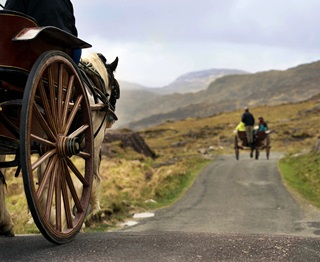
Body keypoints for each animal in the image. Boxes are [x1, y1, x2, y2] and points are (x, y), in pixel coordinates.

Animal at [0, 52, 119, 236]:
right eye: (115, 92)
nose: (111, 118)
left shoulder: (44, 144)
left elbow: (46, 179)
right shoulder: (92, 141)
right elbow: (86, 179)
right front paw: (72, 215)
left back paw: (5, 222)